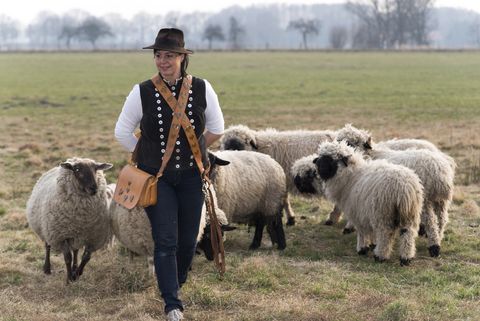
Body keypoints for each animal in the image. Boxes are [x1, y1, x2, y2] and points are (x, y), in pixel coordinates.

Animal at [336, 124, 456, 256]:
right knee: (442, 219)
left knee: (431, 222)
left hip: (424, 199)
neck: (370, 155)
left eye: (350, 143)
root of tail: (439, 170)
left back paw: (433, 246)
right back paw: (438, 238)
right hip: (440, 200)